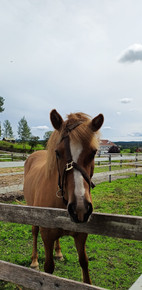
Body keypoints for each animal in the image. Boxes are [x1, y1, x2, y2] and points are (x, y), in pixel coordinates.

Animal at [23, 109, 103, 284]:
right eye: (58, 153)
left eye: (93, 152)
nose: (80, 208)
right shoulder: (46, 235)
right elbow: (48, 267)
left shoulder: (81, 235)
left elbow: (84, 263)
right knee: (34, 232)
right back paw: (34, 261)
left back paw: (58, 252)